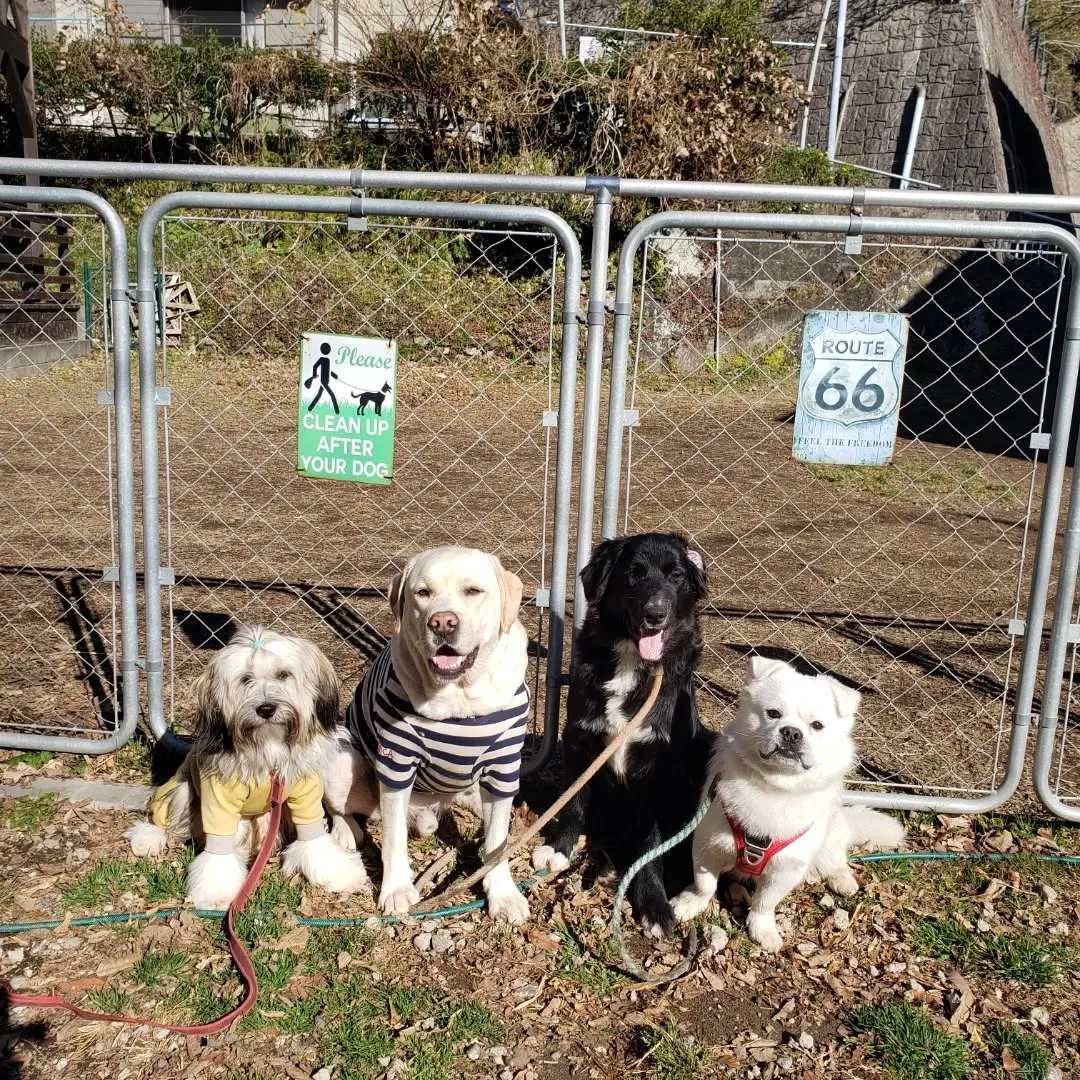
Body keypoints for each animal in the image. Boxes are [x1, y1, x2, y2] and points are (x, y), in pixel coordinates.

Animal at [125, 626, 371, 911]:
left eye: (283, 674)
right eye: (245, 679)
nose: (266, 708)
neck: (269, 748)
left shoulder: (305, 796)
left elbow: (315, 839)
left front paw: (341, 875)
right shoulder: (218, 802)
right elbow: (217, 854)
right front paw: (217, 893)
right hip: (182, 790)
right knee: (163, 818)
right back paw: (147, 839)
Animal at [533, 531, 717, 937]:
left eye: (676, 576)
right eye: (633, 574)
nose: (655, 613)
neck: (635, 664)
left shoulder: (659, 770)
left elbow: (650, 842)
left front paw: (652, 902)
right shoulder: (580, 742)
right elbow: (573, 803)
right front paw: (559, 848)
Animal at [669, 656, 907, 954]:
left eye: (817, 725)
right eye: (773, 713)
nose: (792, 733)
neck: (775, 788)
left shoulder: (788, 867)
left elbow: (764, 902)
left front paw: (762, 930)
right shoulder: (706, 843)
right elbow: (704, 884)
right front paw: (691, 903)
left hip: (831, 836)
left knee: (835, 858)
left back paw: (842, 879)